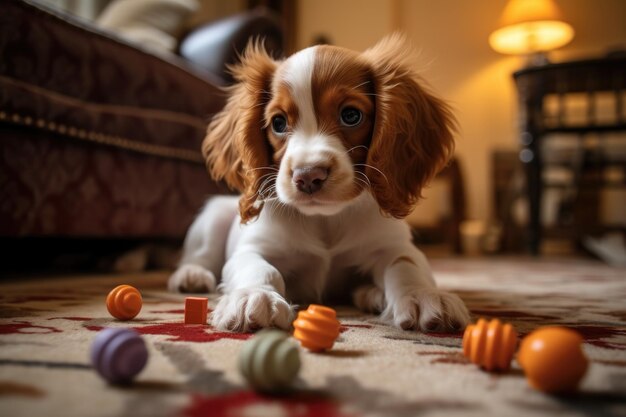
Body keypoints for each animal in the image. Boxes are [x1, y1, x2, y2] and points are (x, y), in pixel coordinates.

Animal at [167, 35, 468, 334]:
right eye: (278, 122)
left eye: (351, 115)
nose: (308, 175)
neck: (325, 219)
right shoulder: (254, 247)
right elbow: (259, 267)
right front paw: (255, 296)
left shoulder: (392, 244)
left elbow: (404, 265)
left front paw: (423, 295)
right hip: (214, 216)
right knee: (200, 255)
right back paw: (191, 276)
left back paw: (372, 294)